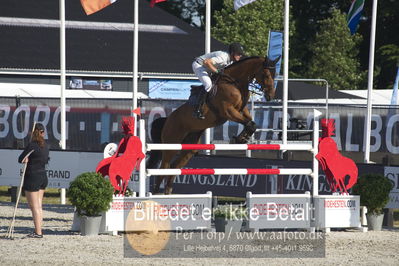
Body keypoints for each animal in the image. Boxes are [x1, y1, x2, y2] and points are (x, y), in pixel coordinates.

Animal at [148, 55, 282, 193]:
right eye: (266, 74)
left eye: (275, 74)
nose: (270, 96)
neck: (235, 82)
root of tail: (167, 120)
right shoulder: (228, 111)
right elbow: (249, 123)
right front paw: (239, 139)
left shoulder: (241, 110)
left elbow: (251, 123)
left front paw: (241, 138)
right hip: (171, 146)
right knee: (163, 169)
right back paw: (156, 193)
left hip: (189, 148)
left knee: (174, 167)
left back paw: (168, 192)